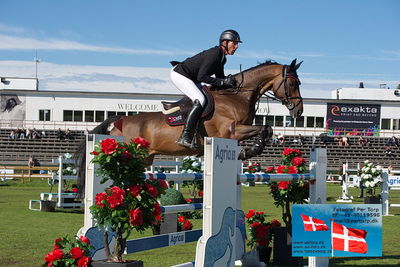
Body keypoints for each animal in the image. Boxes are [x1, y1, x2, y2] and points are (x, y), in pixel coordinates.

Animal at [76, 59, 304, 192]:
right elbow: (265, 128)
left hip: (145, 158)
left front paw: (246, 152)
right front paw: (251, 151)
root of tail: (119, 121)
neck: (236, 96)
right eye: (293, 83)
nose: (299, 111)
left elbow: (267, 129)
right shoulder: (231, 131)